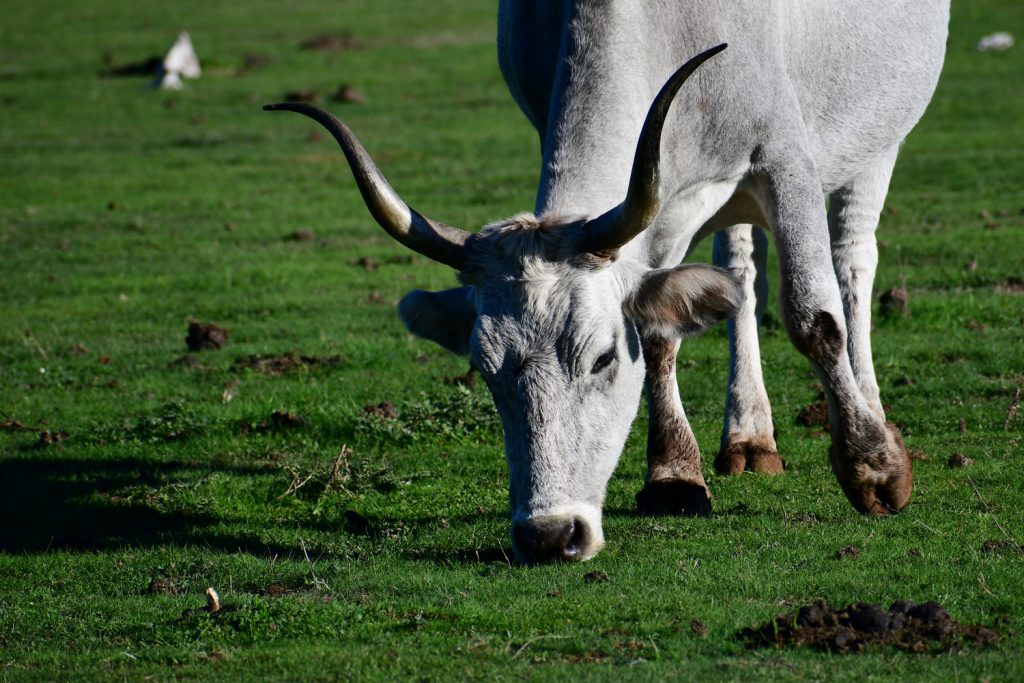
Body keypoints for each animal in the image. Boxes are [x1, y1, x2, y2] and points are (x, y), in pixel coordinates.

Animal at [265, 0, 950, 564]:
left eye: (600, 359)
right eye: (484, 371)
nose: (549, 535)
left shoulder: (784, 155)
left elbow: (814, 317)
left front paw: (873, 469)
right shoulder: (656, 205)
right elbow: (661, 334)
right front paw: (674, 475)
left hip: (876, 140)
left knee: (852, 262)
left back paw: (871, 410)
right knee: (738, 273)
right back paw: (748, 435)